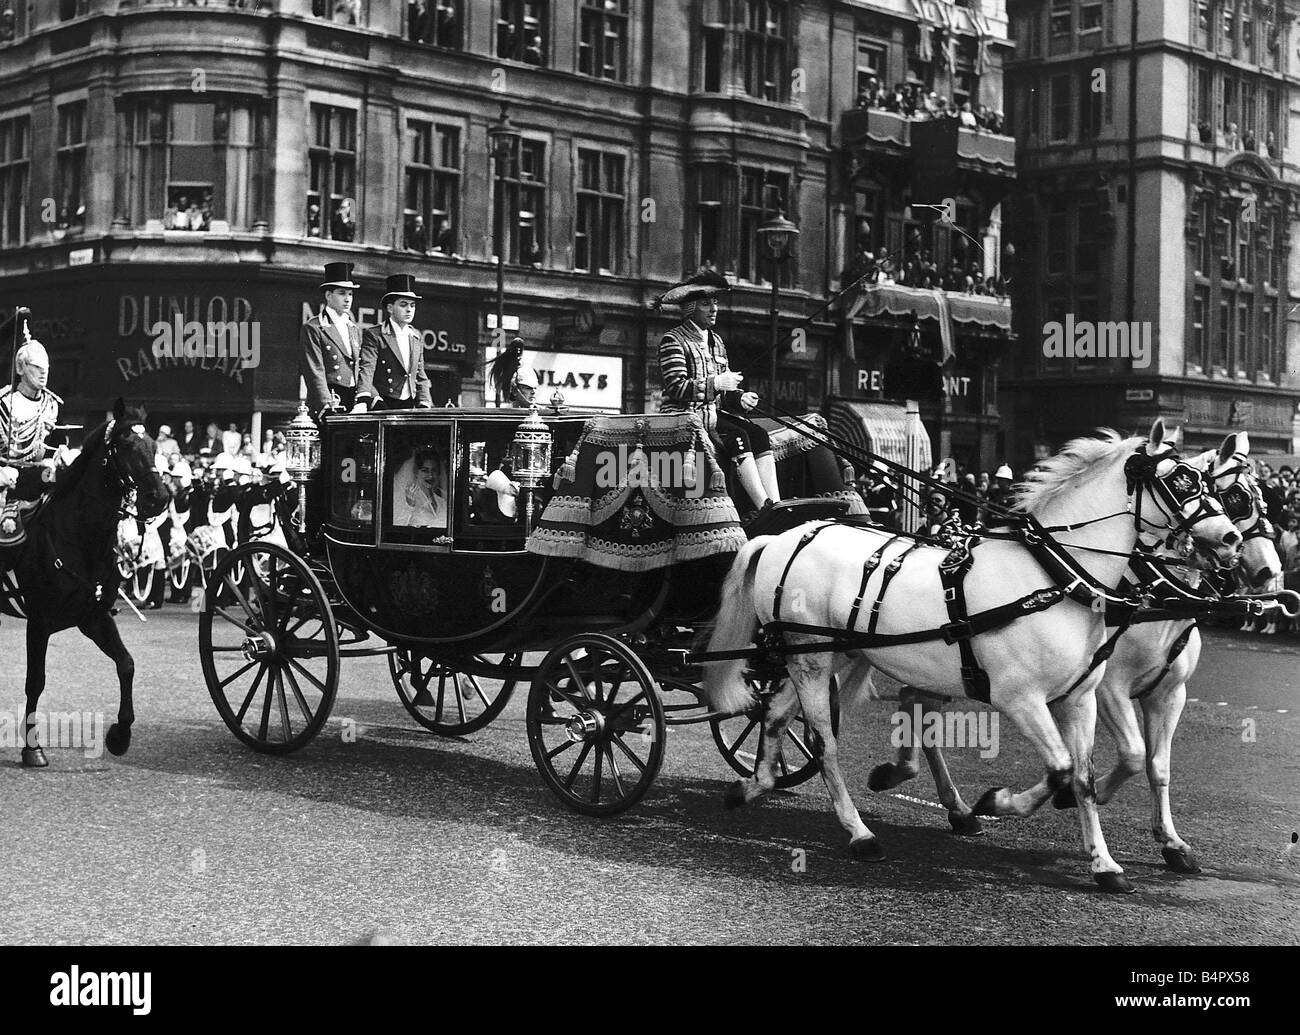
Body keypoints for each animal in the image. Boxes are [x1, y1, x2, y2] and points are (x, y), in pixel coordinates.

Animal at [0, 400, 170, 764]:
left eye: (153, 445)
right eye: (125, 445)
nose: (159, 498)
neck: (80, 539)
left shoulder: (93, 617)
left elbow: (126, 664)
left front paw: (120, 736)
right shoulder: (39, 621)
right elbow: (35, 681)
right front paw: (32, 748)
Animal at [702, 421, 1237, 889]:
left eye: (1214, 485)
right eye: (1180, 480)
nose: (1230, 538)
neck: (1054, 578)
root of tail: (786, 534)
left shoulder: (1081, 697)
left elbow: (1084, 776)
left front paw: (1103, 863)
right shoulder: (1021, 698)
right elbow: (1062, 770)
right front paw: (997, 802)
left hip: (824, 655)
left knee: (775, 714)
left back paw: (754, 785)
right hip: (810, 659)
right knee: (825, 743)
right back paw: (859, 832)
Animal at [868, 429, 1284, 873]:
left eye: (1261, 496)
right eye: (1238, 495)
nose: (1268, 569)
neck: (1154, 596)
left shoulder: (1168, 693)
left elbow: (1157, 766)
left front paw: (1170, 840)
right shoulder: (1109, 687)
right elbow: (1132, 755)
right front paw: (1074, 796)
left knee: (916, 702)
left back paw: (941, 798)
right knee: (918, 704)